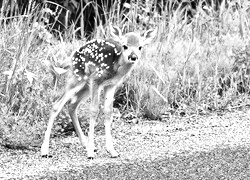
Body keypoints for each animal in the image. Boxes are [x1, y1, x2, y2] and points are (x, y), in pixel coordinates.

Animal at [40, 25, 156, 159]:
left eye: (140, 47)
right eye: (125, 46)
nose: (133, 57)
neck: (115, 66)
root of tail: (71, 57)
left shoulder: (111, 85)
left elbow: (108, 112)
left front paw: (112, 151)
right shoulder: (96, 79)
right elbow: (94, 110)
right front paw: (90, 153)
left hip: (85, 86)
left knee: (72, 105)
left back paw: (85, 144)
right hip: (79, 79)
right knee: (56, 105)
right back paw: (45, 150)